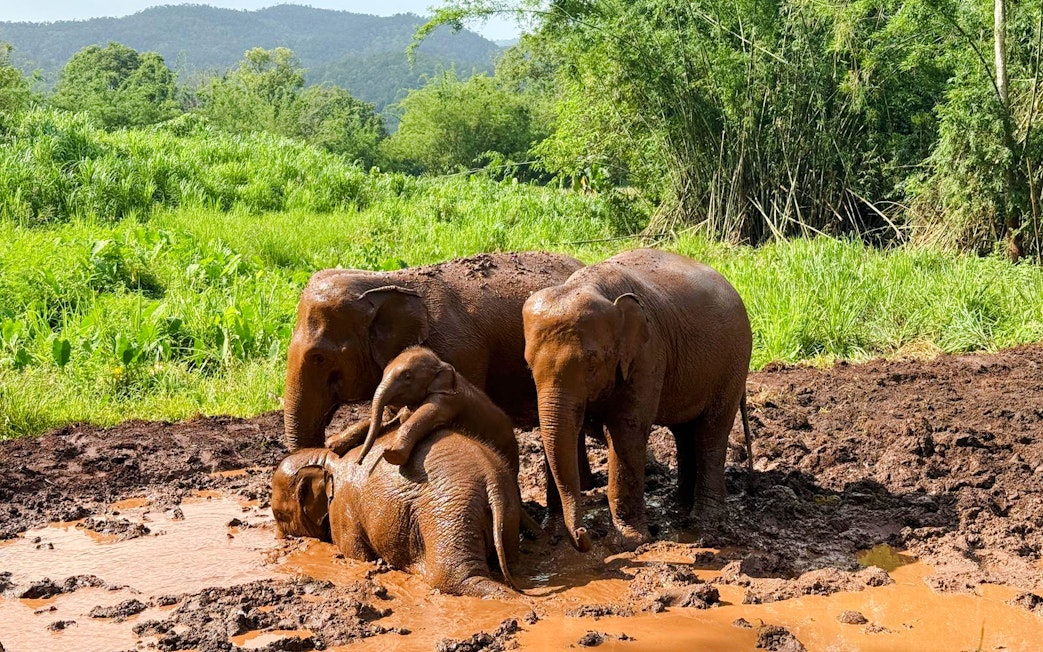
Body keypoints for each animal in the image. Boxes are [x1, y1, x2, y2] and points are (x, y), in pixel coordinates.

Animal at [270, 429, 525, 598]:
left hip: (449, 512)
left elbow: (357, 555)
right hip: (508, 508)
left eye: (280, 515)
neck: (325, 458)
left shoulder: (342, 511)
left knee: (453, 578)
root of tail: (490, 478)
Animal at [522, 248, 752, 552]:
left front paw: (628, 543)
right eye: (528, 365)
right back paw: (680, 509)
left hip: (734, 363)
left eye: (592, 363)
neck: (591, 286)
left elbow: (626, 431)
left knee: (711, 432)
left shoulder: (647, 353)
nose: (584, 534)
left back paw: (705, 522)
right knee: (684, 432)